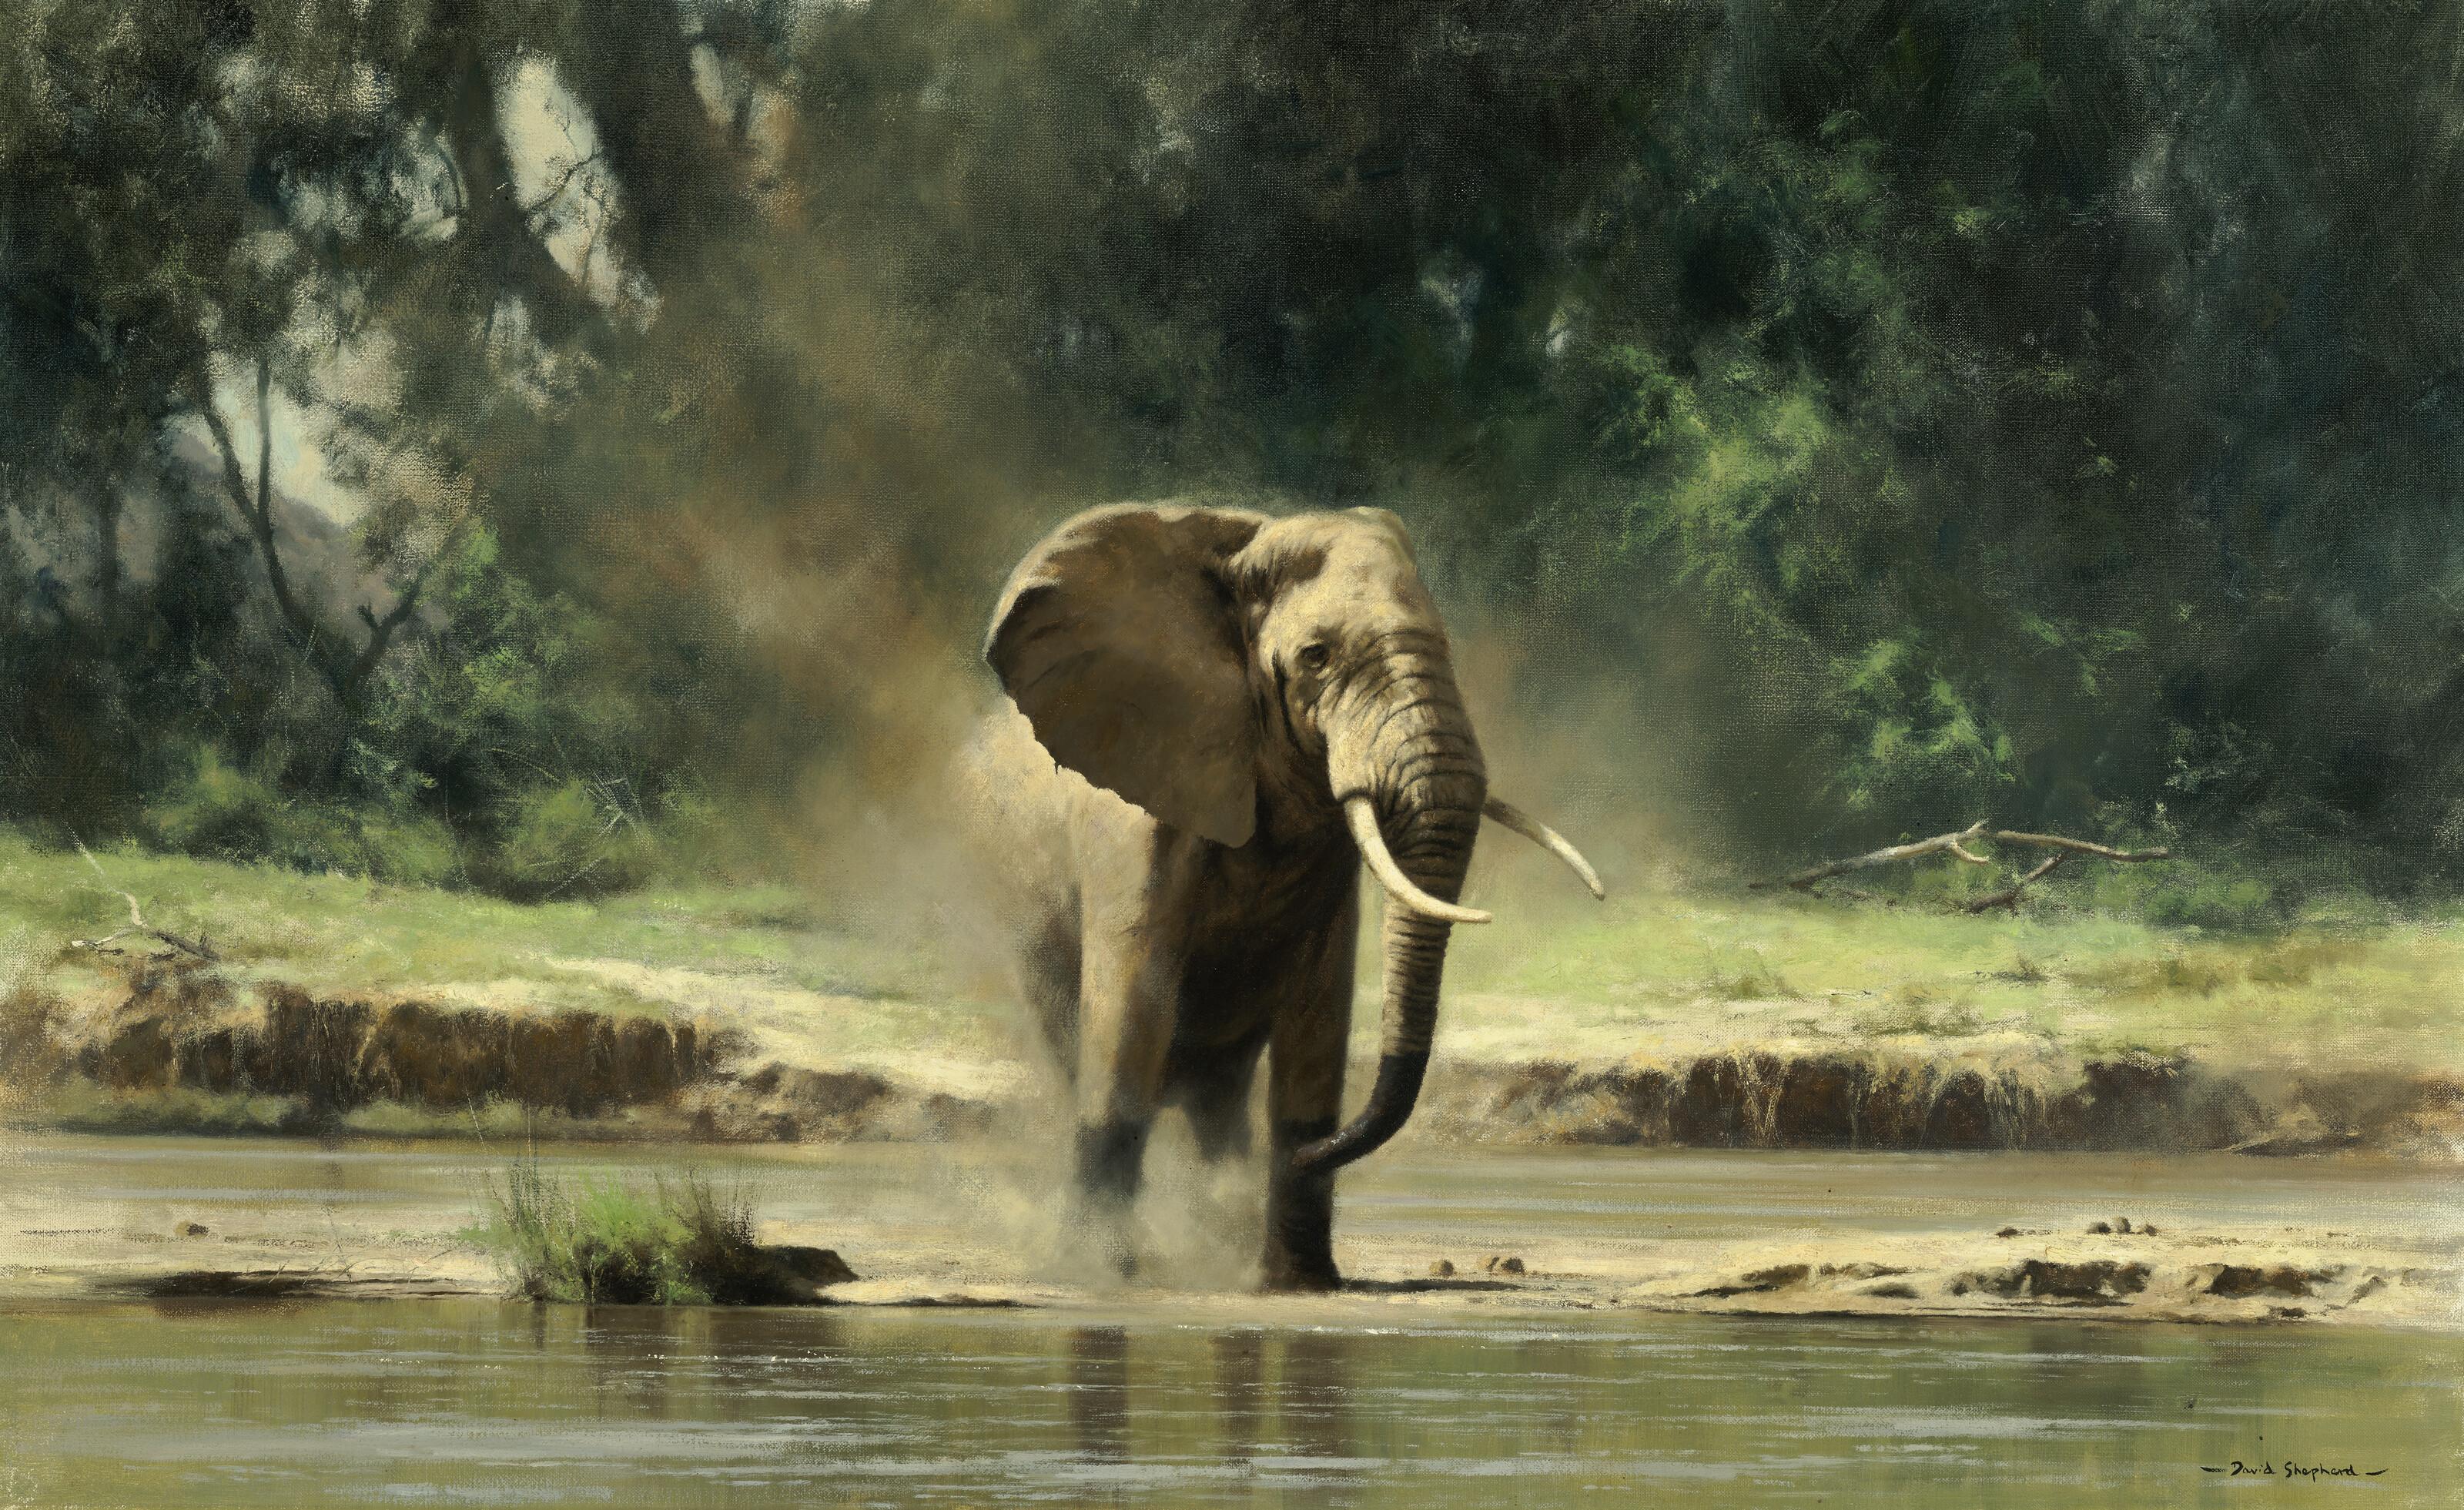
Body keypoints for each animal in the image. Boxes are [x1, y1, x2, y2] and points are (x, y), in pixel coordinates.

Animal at [963, 501, 1601, 1291]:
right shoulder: (1132, 810)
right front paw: (1103, 1275)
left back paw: (1222, 1225)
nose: (1306, 1160)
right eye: (1316, 657)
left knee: (1218, 1087)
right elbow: (1134, 1002)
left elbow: (1318, 1008)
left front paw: (1299, 1281)